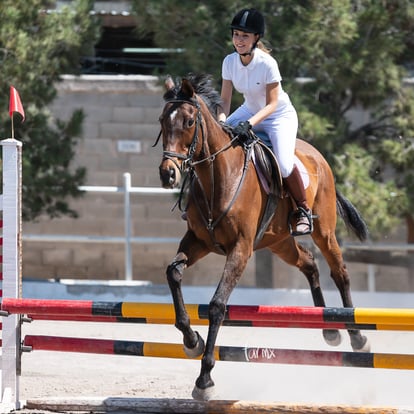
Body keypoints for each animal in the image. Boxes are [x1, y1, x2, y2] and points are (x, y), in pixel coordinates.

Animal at [157, 74, 370, 402]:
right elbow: (173, 272)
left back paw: (356, 336)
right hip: (279, 241)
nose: (167, 174)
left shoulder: (241, 249)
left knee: (340, 272)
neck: (217, 177)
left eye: (189, 121)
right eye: (162, 121)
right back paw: (329, 330)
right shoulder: (198, 241)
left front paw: (204, 380)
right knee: (309, 263)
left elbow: (217, 305)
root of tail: (317, 155)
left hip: (324, 231)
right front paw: (191, 340)